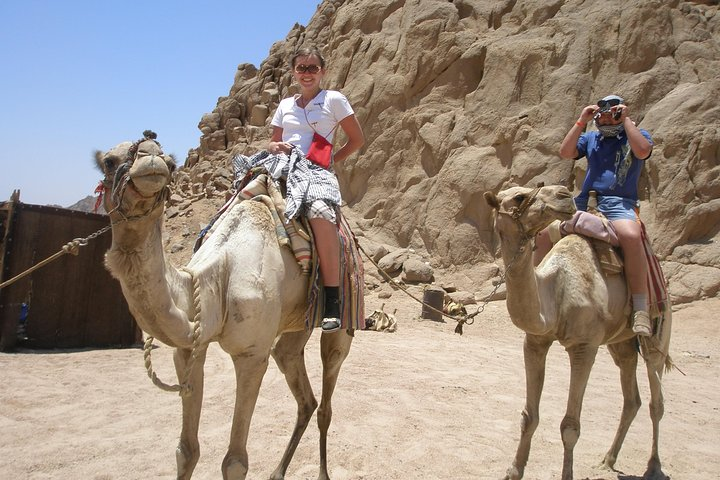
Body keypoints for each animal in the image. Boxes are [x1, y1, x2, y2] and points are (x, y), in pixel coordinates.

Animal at [95, 132, 354, 480]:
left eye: (171, 164)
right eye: (109, 161)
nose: (150, 157)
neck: (215, 277)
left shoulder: (252, 356)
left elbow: (235, 461)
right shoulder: (189, 349)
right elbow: (186, 451)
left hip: (344, 317)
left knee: (327, 392)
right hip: (294, 324)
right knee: (301, 387)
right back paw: (278, 472)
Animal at [484, 185, 676, 480]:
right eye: (519, 197)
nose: (564, 194)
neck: (556, 292)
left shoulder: (585, 347)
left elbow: (570, 426)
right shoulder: (535, 341)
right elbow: (529, 416)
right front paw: (513, 471)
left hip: (658, 334)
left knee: (657, 401)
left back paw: (653, 466)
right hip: (621, 344)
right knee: (632, 398)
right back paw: (608, 460)